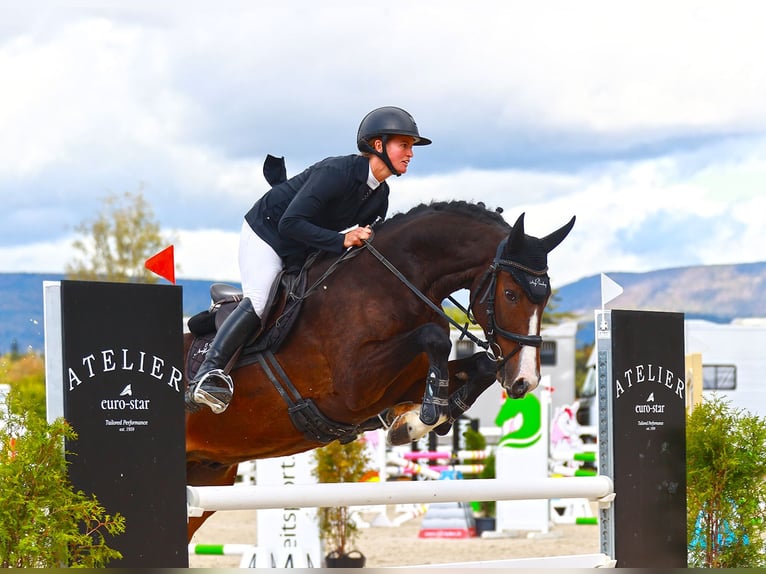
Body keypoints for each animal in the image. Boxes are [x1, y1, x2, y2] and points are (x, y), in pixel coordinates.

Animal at [188, 201, 576, 540]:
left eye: (545, 297)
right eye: (511, 294)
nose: (525, 381)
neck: (394, 284)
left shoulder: (404, 382)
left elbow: (477, 365)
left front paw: (416, 420)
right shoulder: (352, 388)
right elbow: (434, 337)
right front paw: (424, 417)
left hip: (209, 475)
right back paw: (210, 386)